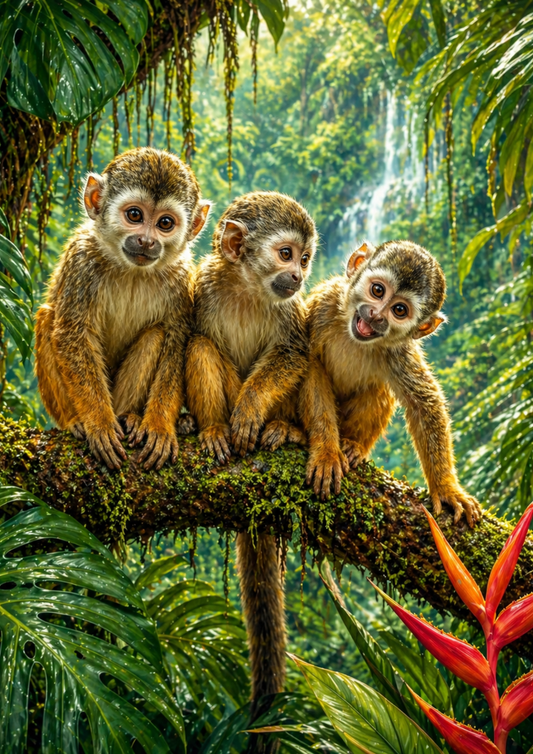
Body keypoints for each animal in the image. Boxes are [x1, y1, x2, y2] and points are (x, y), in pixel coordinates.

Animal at [35, 147, 211, 471]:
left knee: (156, 334)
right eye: (134, 215)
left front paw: (159, 425)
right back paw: (76, 420)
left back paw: (130, 416)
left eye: (165, 223)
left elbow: (176, 341)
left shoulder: (182, 278)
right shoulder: (81, 259)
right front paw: (99, 422)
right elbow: (72, 335)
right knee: (47, 318)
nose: (146, 241)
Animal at [300, 240, 482, 527]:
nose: (375, 315)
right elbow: (310, 366)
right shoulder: (324, 304)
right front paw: (326, 452)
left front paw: (446, 488)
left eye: (399, 310)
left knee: (378, 390)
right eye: (377, 291)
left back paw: (353, 446)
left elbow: (424, 403)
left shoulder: (399, 350)